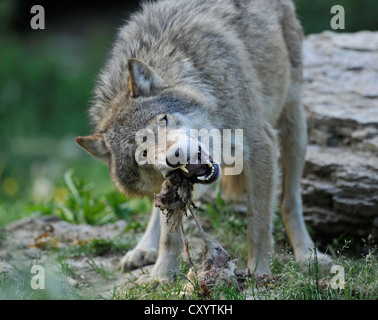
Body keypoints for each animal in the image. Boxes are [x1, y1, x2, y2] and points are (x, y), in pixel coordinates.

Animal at [75, 0, 330, 282]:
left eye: (163, 120)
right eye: (141, 153)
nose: (174, 155)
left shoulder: (261, 145)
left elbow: (259, 224)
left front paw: (259, 272)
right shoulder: (172, 187)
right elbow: (169, 235)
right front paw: (162, 276)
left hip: (293, 126)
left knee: (290, 201)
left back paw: (307, 255)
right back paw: (143, 249)